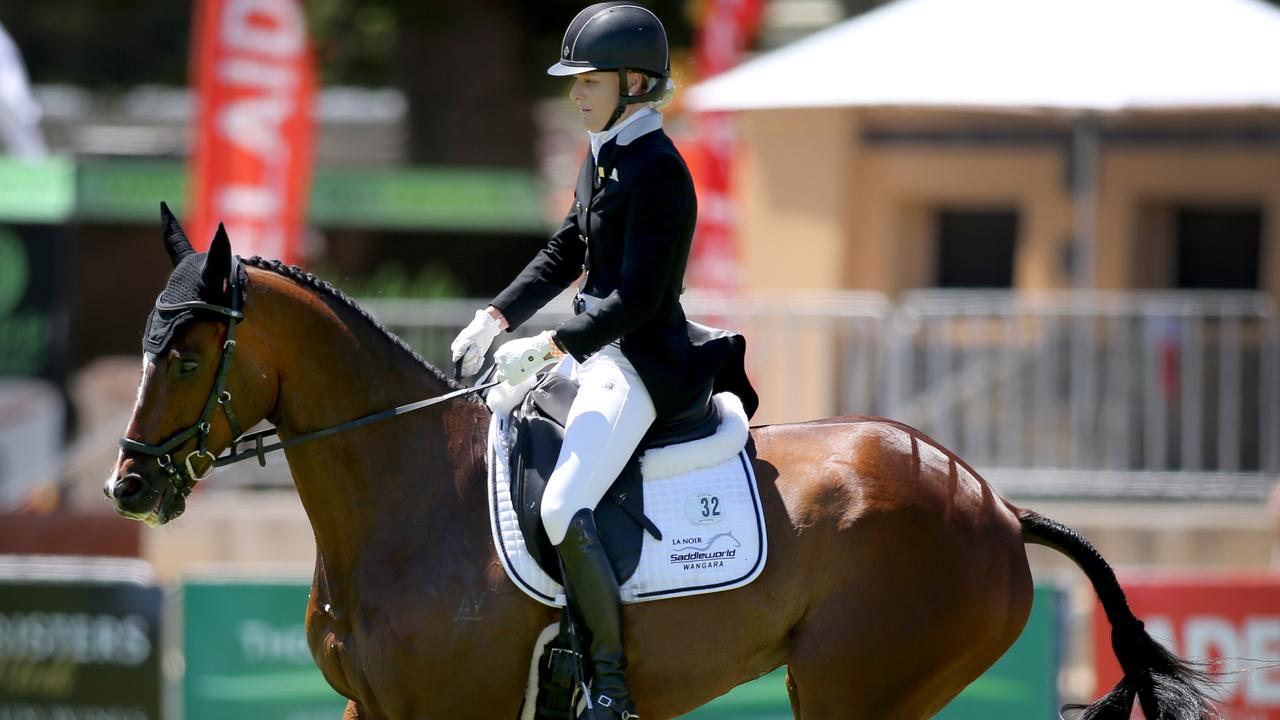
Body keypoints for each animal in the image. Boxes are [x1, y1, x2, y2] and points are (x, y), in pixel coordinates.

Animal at [104, 217, 1213, 717]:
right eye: (145, 344)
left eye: (189, 355)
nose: (129, 488)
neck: (407, 495)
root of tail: (992, 501)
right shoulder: (370, 707)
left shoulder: (456, 707)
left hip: (854, 685)